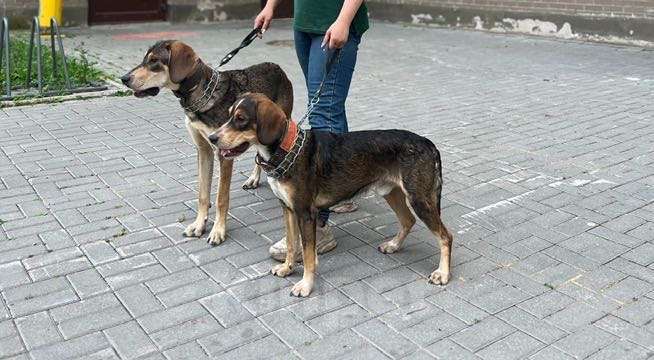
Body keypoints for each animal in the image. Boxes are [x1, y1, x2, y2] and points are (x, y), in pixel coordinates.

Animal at [120, 41, 292, 245]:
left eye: (154, 61)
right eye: (145, 59)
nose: (124, 79)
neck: (201, 95)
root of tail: (277, 66)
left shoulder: (223, 154)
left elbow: (221, 198)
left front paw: (218, 230)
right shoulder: (203, 150)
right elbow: (203, 194)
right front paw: (199, 224)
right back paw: (253, 179)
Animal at [211, 93, 456, 298]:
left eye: (241, 119)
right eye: (229, 115)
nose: (212, 138)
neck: (288, 149)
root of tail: (428, 143)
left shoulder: (305, 213)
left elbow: (308, 254)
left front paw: (306, 285)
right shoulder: (288, 209)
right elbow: (291, 244)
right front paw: (287, 268)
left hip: (419, 199)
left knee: (446, 236)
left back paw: (442, 273)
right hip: (392, 193)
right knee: (408, 220)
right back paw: (394, 245)